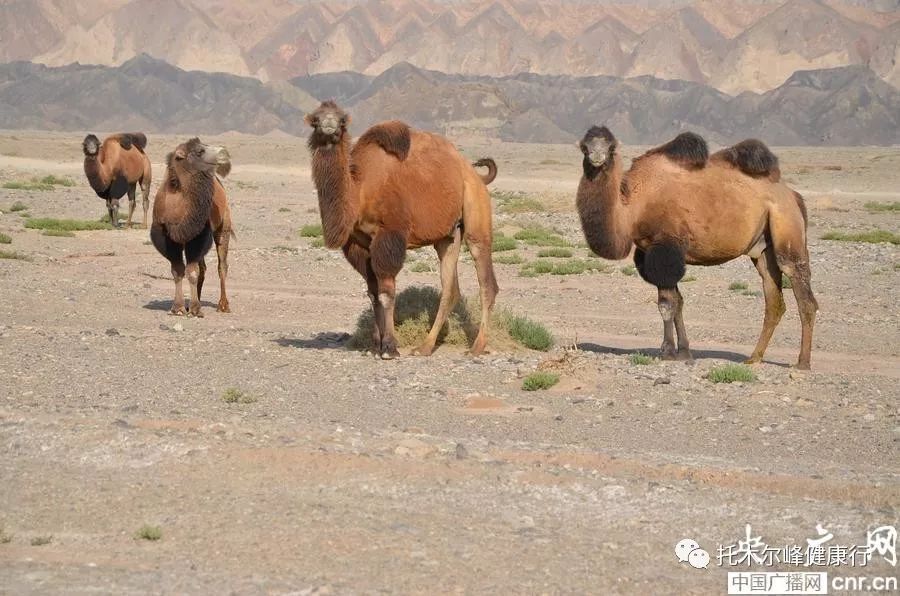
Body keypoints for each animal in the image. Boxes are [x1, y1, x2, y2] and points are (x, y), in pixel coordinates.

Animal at [149, 139, 234, 316]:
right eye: (200, 151)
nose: (224, 154)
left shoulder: (199, 235)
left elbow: (191, 271)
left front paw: (195, 309)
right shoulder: (165, 236)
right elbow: (177, 270)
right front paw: (179, 308)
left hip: (223, 225)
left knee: (221, 265)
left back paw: (223, 305)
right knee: (203, 267)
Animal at [302, 100, 500, 358]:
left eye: (342, 120)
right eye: (315, 119)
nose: (329, 125)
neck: (360, 190)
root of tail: (473, 172)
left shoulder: (389, 236)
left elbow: (386, 293)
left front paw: (389, 347)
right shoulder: (359, 244)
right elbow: (372, 293)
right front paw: (374, 346)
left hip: (476, 209)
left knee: (485, 279)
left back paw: (476, 347)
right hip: (448, 235)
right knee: (450, 287)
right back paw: (425, 347)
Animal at [576, 125, 816, 368]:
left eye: (611, 147)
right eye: (584, 146)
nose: (597, 156)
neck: (634, 205)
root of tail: (792, 195)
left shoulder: (665, 248)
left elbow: (667, 304)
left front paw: (667, 351)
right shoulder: (651, 253)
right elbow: (678, 302)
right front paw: (683, 352)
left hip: (786, 223)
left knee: (801, 289)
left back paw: (802, 363)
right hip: (762, 247)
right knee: (773, 297)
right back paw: (754, 357)